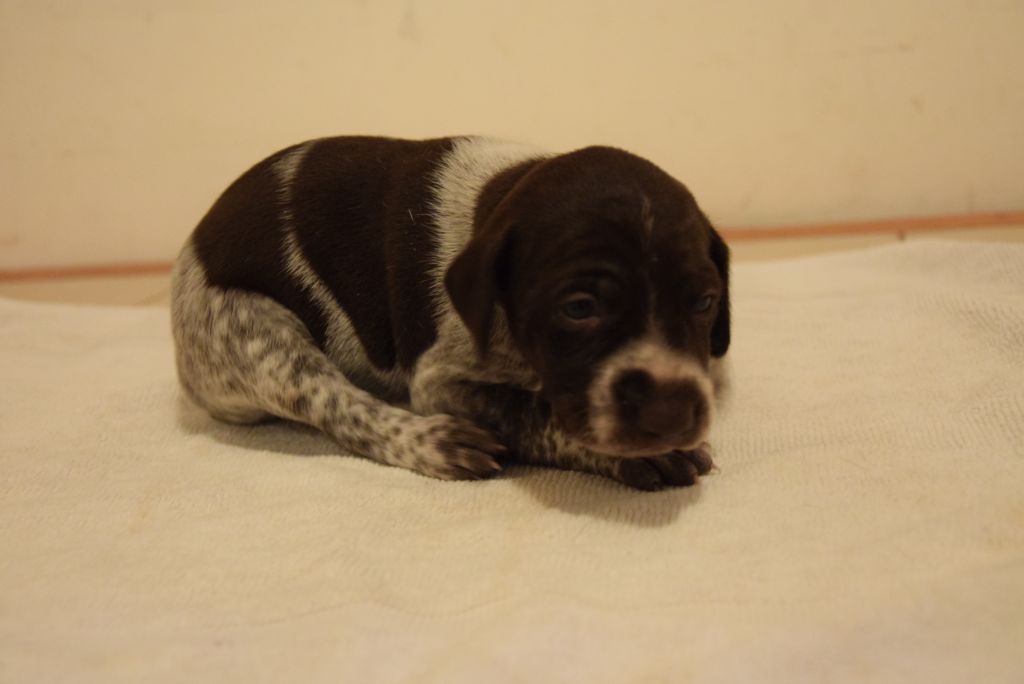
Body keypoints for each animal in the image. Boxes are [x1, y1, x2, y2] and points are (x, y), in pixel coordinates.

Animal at [171, 136, 730, 490]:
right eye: (579, 309)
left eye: (706, 302)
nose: (670, 414)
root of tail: (191, 245)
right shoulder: (440, 381)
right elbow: (537, 413)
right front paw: (635, 455)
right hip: (255, 333)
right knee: (335, 404)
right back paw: (434, 443)